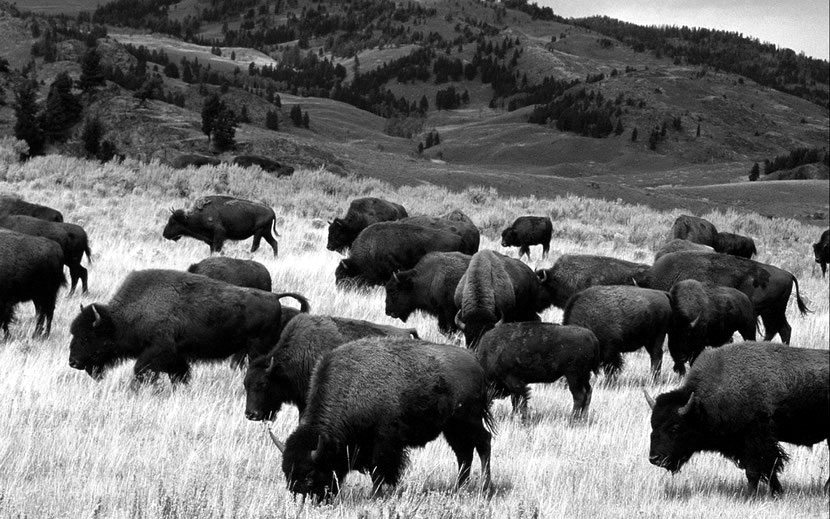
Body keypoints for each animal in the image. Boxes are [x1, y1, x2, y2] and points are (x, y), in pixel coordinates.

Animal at [68, 269, 309, 383]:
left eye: (88, 337)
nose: (73, 362)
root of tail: (274, 297)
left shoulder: (157, 351)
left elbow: (141, 370)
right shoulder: (177, 357)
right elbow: (179, 376)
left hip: (257, 350)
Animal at [273, 337, 493, 500]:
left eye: (310, 475)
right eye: (286, 473)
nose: (303, 500)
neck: (351, 389)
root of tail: (476, 363)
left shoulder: (383, 443)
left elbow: (378, 470)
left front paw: (375, 495)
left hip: (468, 421)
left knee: (483, 443)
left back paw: (485, 489)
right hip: (452, 428)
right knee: (464, 454)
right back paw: (459, 488)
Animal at [645, 342, 829, 496]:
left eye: (675, 427)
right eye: (653, 425)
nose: (654, 459)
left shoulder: (756, 440)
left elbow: (757, 470)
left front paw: (750, 496)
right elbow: (766, 469)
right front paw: (777, 492)